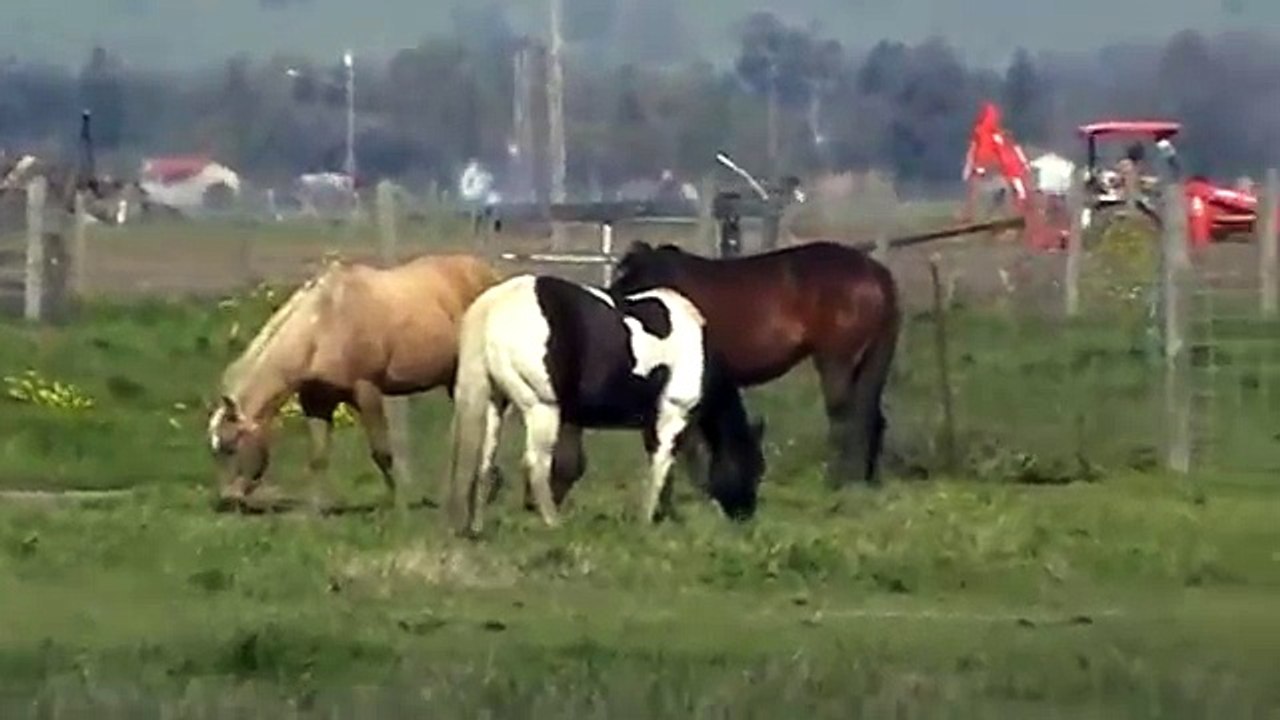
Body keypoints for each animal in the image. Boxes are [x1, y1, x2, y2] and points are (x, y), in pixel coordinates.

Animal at [207, 253, 502, 509]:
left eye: (231, 446)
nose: (228, 498)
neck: (324, 323)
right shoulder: (316, 402)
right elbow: (318, 456)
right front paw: (315, 510)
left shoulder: (366, 391)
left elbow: (382, 452)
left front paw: (398, 504)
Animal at [445, 274, 765, 537]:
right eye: (753, 465)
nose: (744, 516)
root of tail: (493, 304)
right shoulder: (673, 413)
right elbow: (661, 467)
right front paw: (646, 521)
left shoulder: (653, 424)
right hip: (542, 408)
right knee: (536, 465)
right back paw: (554, 523)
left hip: (495, 403)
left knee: (484, 464)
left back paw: (477, 527)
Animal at [593, 240, 900, 490]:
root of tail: (875, 273)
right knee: (872, 418)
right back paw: (866, 482)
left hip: (836, 362)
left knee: (846, 417)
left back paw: (836, 480)